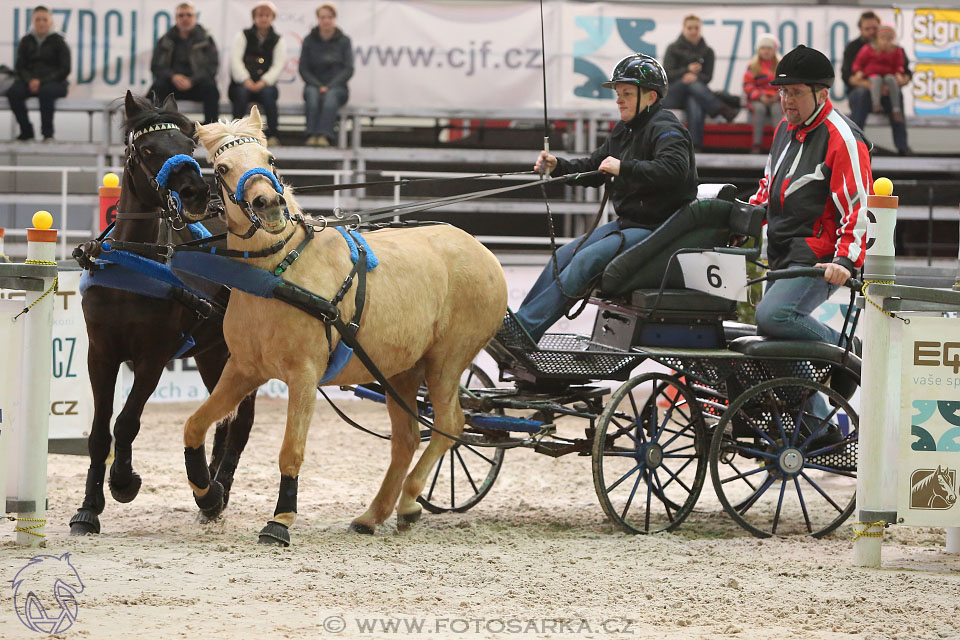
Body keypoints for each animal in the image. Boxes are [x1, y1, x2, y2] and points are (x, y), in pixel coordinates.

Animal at [70, 91, 256, 536]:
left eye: (189, 145)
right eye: (148, 149)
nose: (194, 193)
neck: (136, 260)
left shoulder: (152, 357)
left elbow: (127, 421)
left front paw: (123, 482)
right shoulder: (100, 354)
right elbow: (100, 431)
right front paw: (88, 509)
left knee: (241, 422)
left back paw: (217, 490)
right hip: (211, 354)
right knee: (223, 419)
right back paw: (209, 490)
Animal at [182, 109, 510, 544]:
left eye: (270, 159)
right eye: (221, 168)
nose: (269, 205)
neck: (277, 274)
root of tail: (482, 250)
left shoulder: (304, 375)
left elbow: (291, 449)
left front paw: (280, 520)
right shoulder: (243, 370)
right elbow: (194, 426)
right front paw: (209, 495)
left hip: (447, 362)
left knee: (449, 426)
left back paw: (409, 500)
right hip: (401, 371)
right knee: (407, 439)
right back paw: (374, 514)